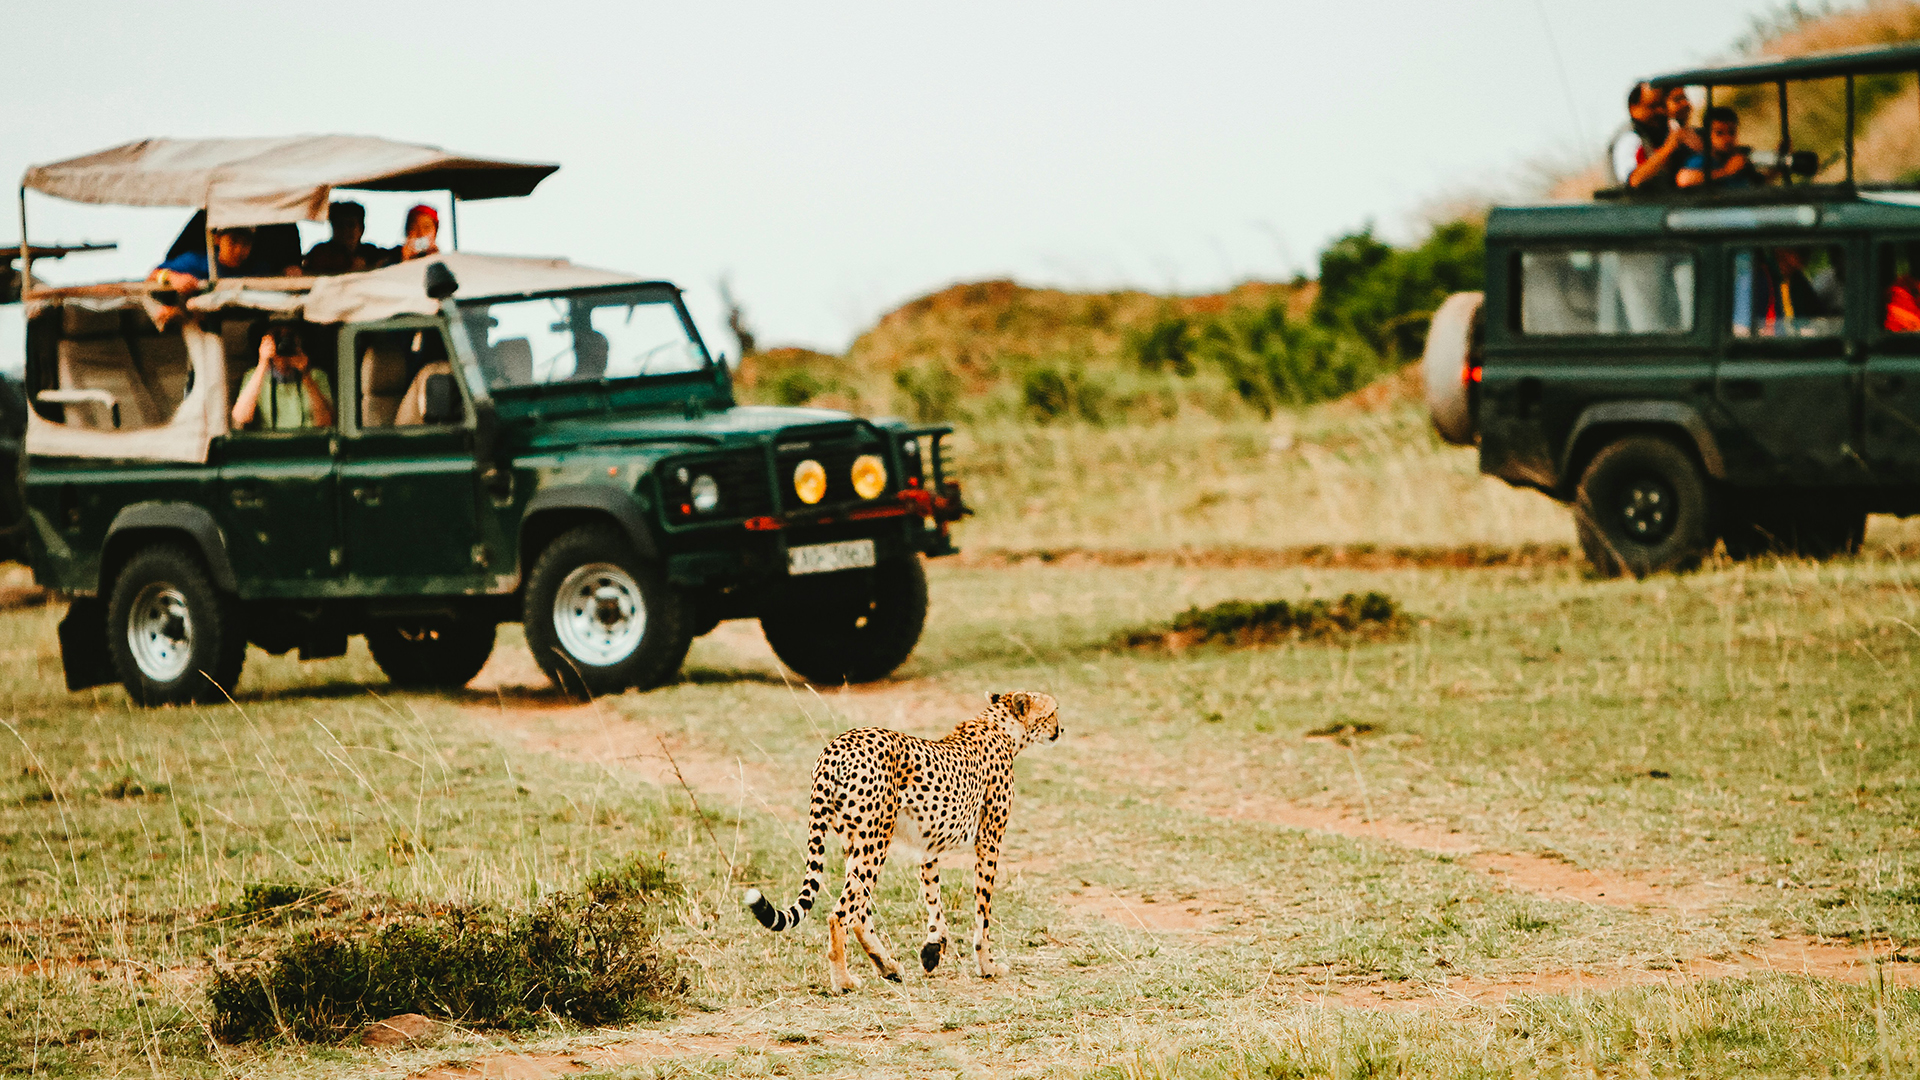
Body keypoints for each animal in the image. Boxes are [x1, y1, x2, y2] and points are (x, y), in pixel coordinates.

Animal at [744, 690, 1061, 993]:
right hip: (875, 839)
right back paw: (844, 981)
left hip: (855, 841)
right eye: (1053, 711)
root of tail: (836, 746)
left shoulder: (928, 847)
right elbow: (983, 910)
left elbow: (933, 897)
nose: (1061, 729)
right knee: (841, 914)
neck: (999, 726)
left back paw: (888, 967)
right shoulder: (989, 840)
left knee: (859, 911)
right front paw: (987, 966)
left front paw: (933, 949)